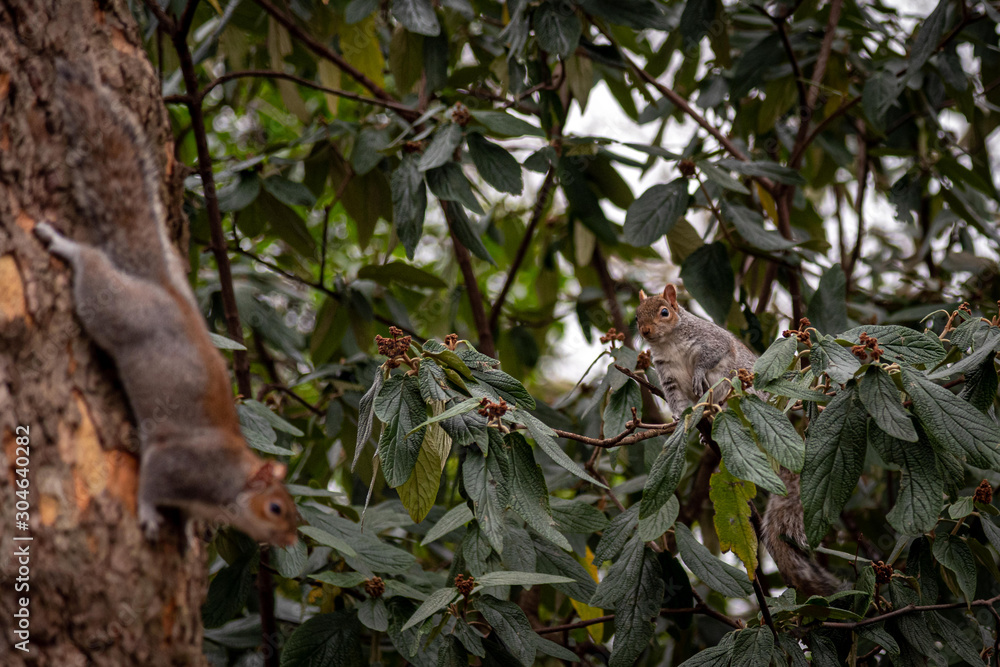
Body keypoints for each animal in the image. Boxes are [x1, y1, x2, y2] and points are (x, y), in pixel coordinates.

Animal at [36, 62, 300, 548]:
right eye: (275, 508)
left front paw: (191, 532)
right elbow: (150, 482)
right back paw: (65, 246)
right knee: (93, 267)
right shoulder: (175, 464)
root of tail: (165, 290)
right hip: (115, 309)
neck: (232, 483)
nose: (290, 541)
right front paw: (148, 514)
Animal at [636, 284, 840, 596]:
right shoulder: (667, 375)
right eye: (637, 317)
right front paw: (680, 419)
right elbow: (677, 400)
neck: (668, 342)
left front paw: (697, 375)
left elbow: (712, 354)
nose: (645, 331)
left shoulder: (711, 340)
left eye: (664, 312)